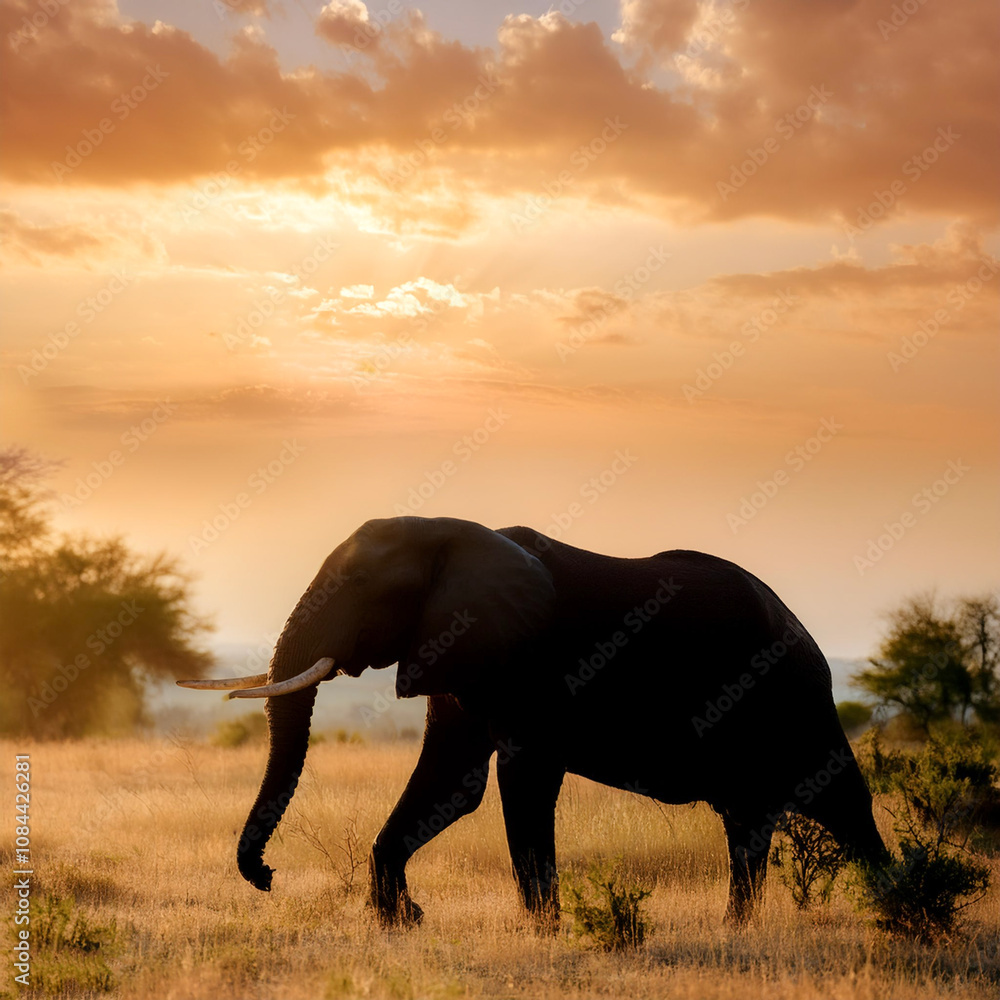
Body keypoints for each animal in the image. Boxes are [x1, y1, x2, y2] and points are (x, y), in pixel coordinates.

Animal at [178, 515, 887, 926]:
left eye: (360, 585)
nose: (267, 878)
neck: (451, 535)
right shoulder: (457, 655)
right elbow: (449, 784)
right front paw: (403, 921)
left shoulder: (531, 664)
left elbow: (522, 784)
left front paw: (545, 930)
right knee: (749, 820)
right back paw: (740, 928)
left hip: (795, 695)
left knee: (842, 801)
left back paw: (898, 914)